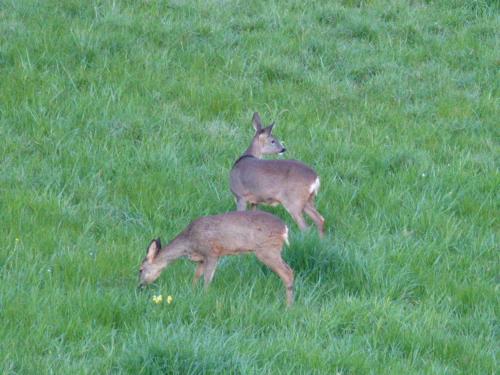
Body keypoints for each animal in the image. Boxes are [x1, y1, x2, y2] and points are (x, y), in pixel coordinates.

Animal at [137, 210, 294, 306]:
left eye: (140, 269)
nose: (139, 287)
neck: (189, 242)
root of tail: (285, 228)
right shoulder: (201, 259)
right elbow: (196, 276)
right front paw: (192, 293)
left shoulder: (212, 253)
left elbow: (207, 279)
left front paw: (205, 298)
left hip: (267, 250)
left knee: (288, 272)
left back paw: (288, 306)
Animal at [229, 111, 326, 239]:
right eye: (273, 140)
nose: (283, 149)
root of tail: (315, 178)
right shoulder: (255, 200)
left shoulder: (240, 195)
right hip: (308, 199)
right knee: (320, 219)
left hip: (293, 199)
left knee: (305, 227)